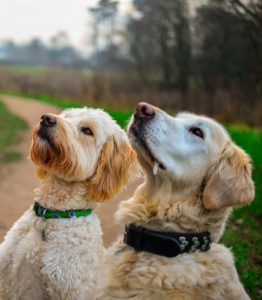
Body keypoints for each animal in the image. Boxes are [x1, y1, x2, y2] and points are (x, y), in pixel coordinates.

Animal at [0, 108, 137, 300]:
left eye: (87, 130)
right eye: (66, 116)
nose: (46, 119)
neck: (52, 214)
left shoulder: (69, 289)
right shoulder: (7, 278)